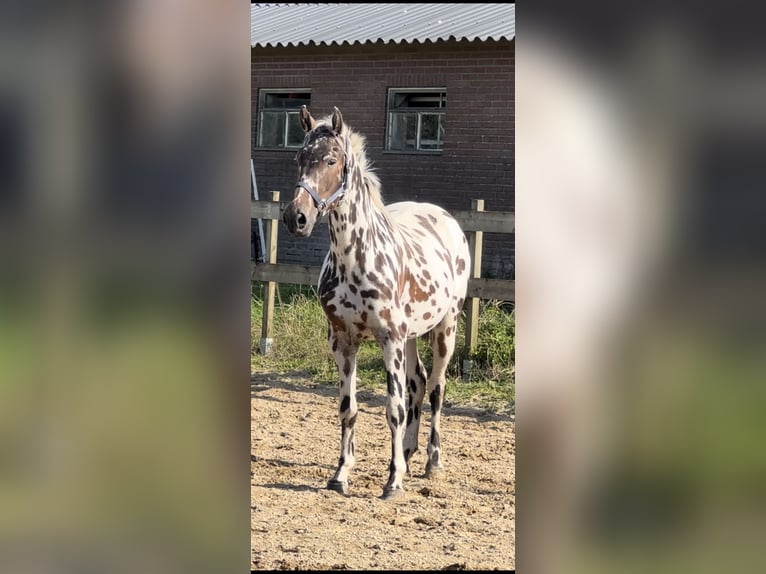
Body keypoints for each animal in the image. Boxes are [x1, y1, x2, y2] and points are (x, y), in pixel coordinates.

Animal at [284, 107, 472, 500]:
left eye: (331, 159)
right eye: (298, 158)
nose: (296, 218)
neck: (355, 258)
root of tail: (446, 219)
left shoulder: (389, 339)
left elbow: (394, 410)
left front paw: (393, 480)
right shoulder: (343, 341)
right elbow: (348, 407)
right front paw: (341, 473)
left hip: (444, 328)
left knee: (436, 387)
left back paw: (431, 461)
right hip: (412, 336)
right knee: (417, 382)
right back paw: (408, 453)